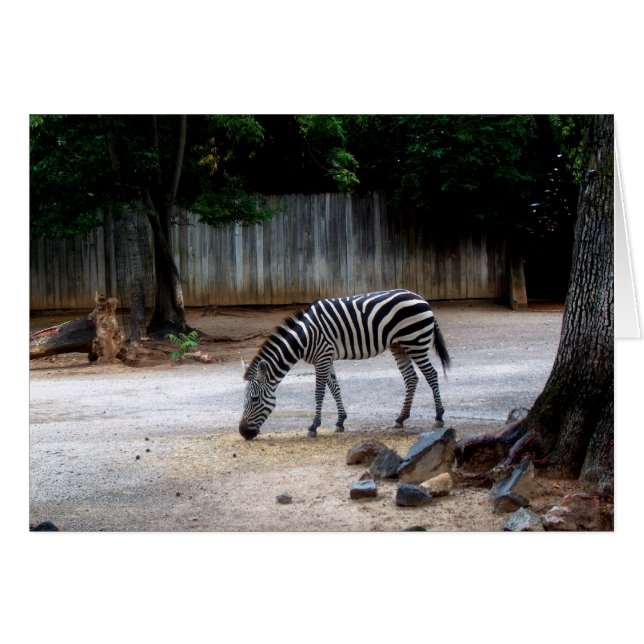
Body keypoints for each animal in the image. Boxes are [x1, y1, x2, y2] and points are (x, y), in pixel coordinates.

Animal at [239, 289, 450, 440]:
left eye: (254, 399)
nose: (243, 432)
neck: (304, 337)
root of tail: (422, 298)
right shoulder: (326, 358)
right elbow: (335, 389)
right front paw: (340, 422)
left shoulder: (322, 356)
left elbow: (319, 392)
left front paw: (314, 427)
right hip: (399, 345)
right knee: (411, 378)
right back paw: (400, 418)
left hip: (415, 342)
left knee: (431, 374)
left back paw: (439, 417)